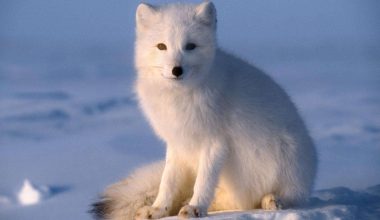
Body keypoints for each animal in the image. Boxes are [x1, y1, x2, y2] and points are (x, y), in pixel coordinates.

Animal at [92, 2, 318, 220]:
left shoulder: (214, 142)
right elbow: (168, 181)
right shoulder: (178, 143)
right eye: (161, 46)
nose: (176, 70)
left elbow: (204, 181)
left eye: (190, 46)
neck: (179, 98)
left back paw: (272, 199)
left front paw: (195, 208)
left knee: (285, 197)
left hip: (288, 158)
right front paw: (158, 210)